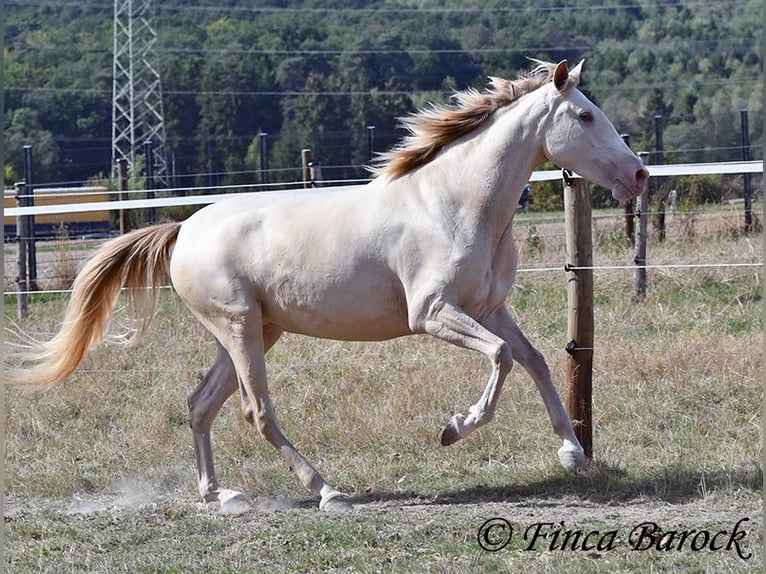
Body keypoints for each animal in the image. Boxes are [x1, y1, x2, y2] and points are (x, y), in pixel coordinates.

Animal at [5, 60, 648, 513]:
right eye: (585, 116)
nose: (639, 174)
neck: (455, 202)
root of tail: (183, 228)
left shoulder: (489, 307)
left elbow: (533, 360)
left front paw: (573, 454)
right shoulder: (433, 313)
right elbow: (501, 359)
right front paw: (454, 428)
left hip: (253, 332)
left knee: (199, 404)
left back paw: (222, 495)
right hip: (240, 329)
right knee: (256, 412)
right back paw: (327, 490)